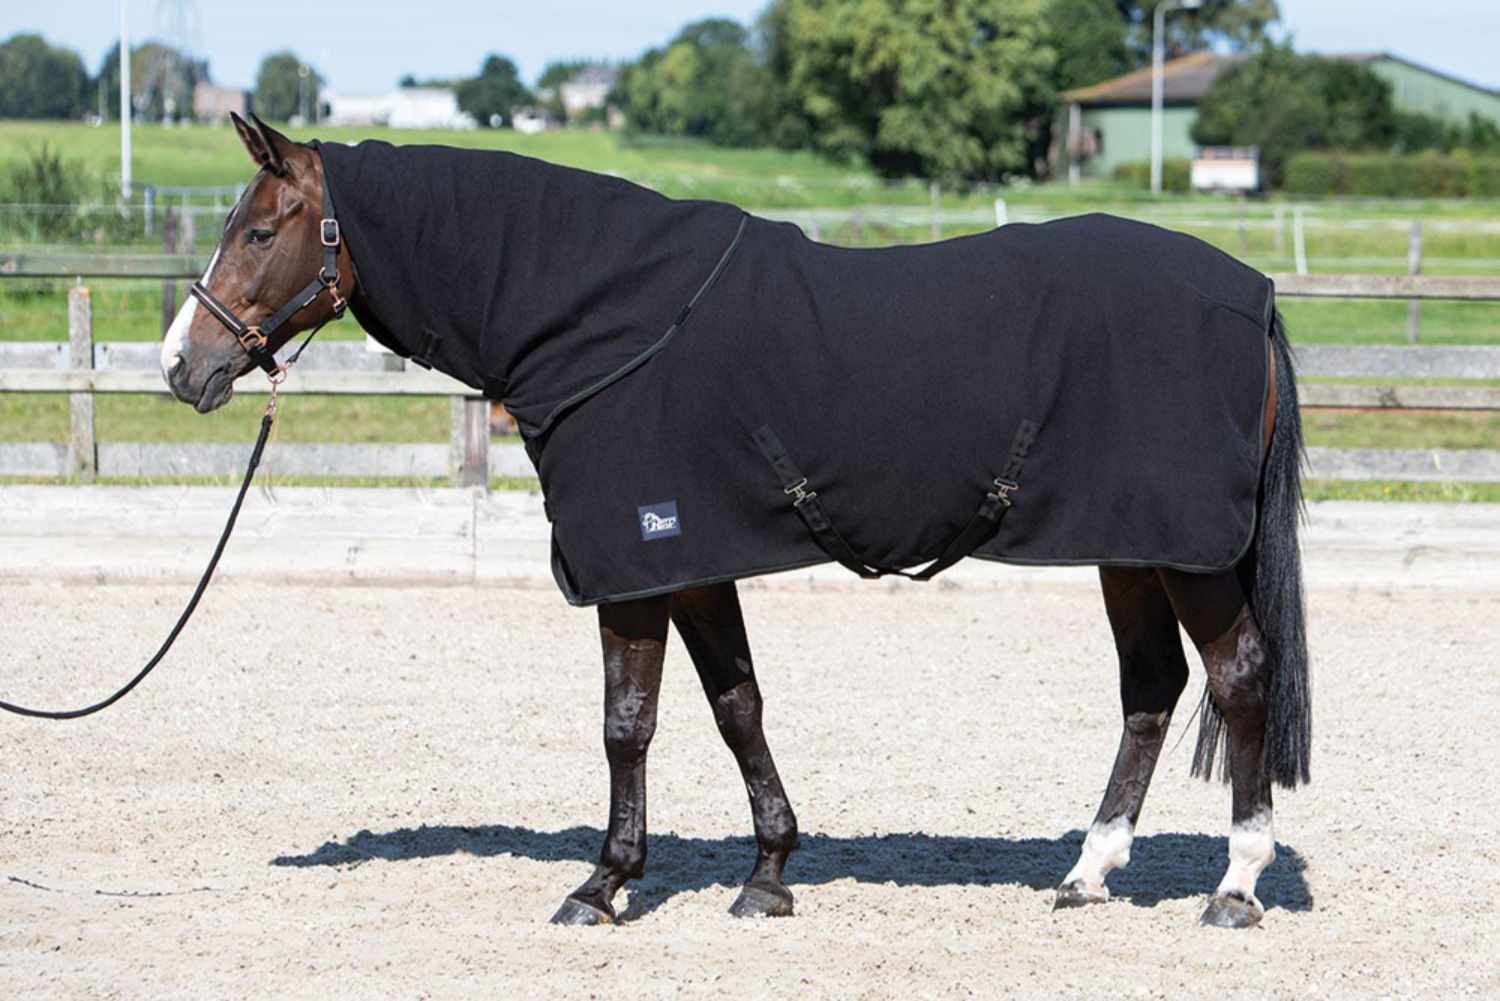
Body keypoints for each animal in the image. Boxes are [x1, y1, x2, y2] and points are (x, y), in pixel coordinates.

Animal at [160, 113, 1310, 929]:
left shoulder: (635, 566)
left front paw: (603, 883)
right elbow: (736, 705)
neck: (604, 315)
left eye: (258, 230)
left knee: (1240, 676)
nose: (181, 364)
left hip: (1186, 556)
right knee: (1151, 689)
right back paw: (1086, 871)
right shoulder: (695, 561)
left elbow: (629, 722)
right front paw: (766, 874)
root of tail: (1250, 295)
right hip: (1133, 546)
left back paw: (1235, 883)